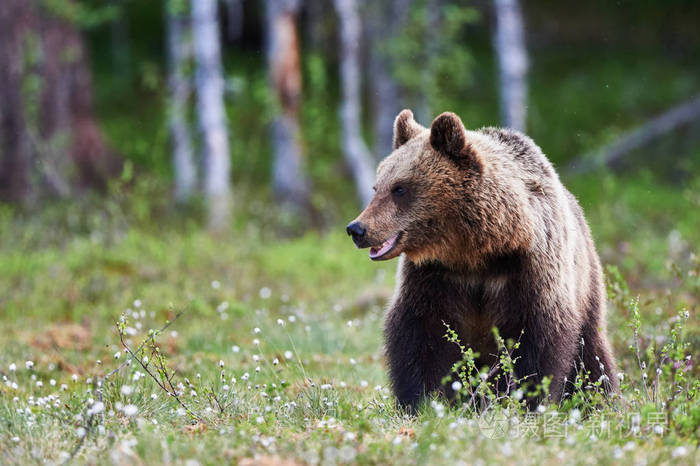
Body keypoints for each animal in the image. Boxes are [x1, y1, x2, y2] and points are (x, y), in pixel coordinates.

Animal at [346, 109, 618, 411]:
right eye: (377, 187)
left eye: (400, 188)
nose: (357, 229)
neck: (476, 252)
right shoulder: (434, 277)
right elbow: (420, 335)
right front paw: (421, 401)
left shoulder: (530, 270)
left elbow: (536, 340)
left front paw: (525, 399)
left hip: (587, 288)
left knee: (592, 357)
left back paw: (598, 401)